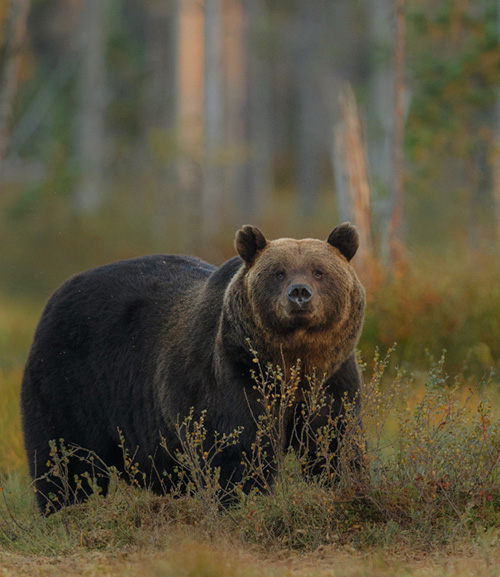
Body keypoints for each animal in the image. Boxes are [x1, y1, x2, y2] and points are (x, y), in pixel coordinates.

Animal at [21, 223, 366, 510]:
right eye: (278, 273)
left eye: (319, 271)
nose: (299, 294)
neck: (292, 360)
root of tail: (57, 294)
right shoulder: (232, 371)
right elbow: (237, 446)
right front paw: (243, 498)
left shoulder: (333, 376)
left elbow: (336, 439)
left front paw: (344, 483)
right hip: (70, 378)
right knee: (65, 456)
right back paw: (66, 508)